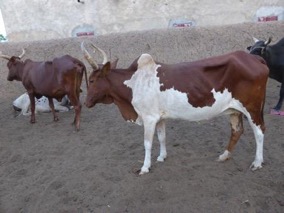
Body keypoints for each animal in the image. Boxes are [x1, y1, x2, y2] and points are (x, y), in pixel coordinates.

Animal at [81, 43, 268, 175]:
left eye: (91, 80)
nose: (86, 103)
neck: (134, 82)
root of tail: (254, 59)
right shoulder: (159, 117)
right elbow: (162, 137)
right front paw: (161, 156)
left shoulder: (148, 118)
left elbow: (147, 143)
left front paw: (145, 167)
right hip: (234, 110)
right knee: (237, 131)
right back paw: (224, 155)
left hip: (252, 108)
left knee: (259, 132)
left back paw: (257, 163)